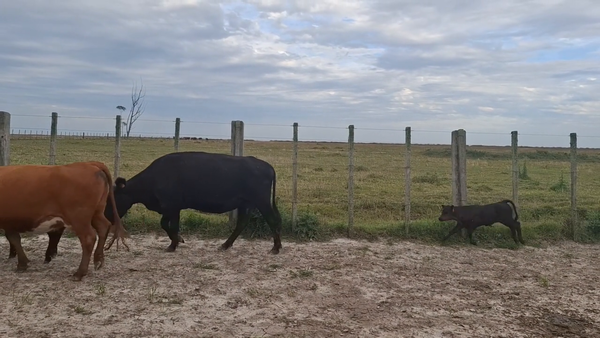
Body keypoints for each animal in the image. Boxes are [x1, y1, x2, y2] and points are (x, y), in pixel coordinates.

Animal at [0, 161, 129, 280]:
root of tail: (88, 164)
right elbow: (14, 239)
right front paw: (22, 263)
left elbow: (13, 238)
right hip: (97, 213)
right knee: (103, 227)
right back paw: (98, 259)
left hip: (79, 219)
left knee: (88, 238)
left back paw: (80, 272)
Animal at [103, 151, 284, 254]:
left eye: (112, 199)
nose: (105, 216)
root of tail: (266, 165)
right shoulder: (169, 208)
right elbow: (164, 224)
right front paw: (178, 240)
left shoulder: (172, 206)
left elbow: (171, 225)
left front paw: (173, 245)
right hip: (246, 203)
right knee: (242, 223)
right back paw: (225, 245)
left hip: (261, 201)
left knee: (272, 220)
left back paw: (276, 247)